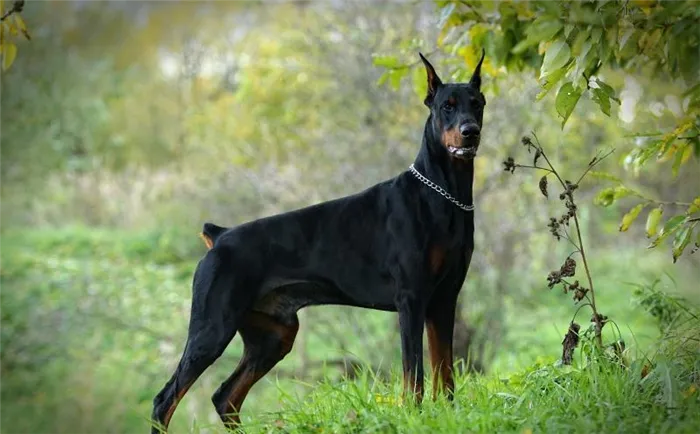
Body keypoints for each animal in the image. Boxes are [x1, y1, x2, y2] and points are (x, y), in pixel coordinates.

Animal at [150, 50, 484, 430]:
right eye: (447, 106)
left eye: (477, 103)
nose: (470, 132)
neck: (444, 194)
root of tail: (219, 236)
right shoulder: (411, 300)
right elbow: (413, 376)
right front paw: (413, 418)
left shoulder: (444, 300)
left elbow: (445, 373)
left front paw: (448, 416)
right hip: (212, 328)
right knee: (165, 400)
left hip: (274, 336)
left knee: (225, 397)